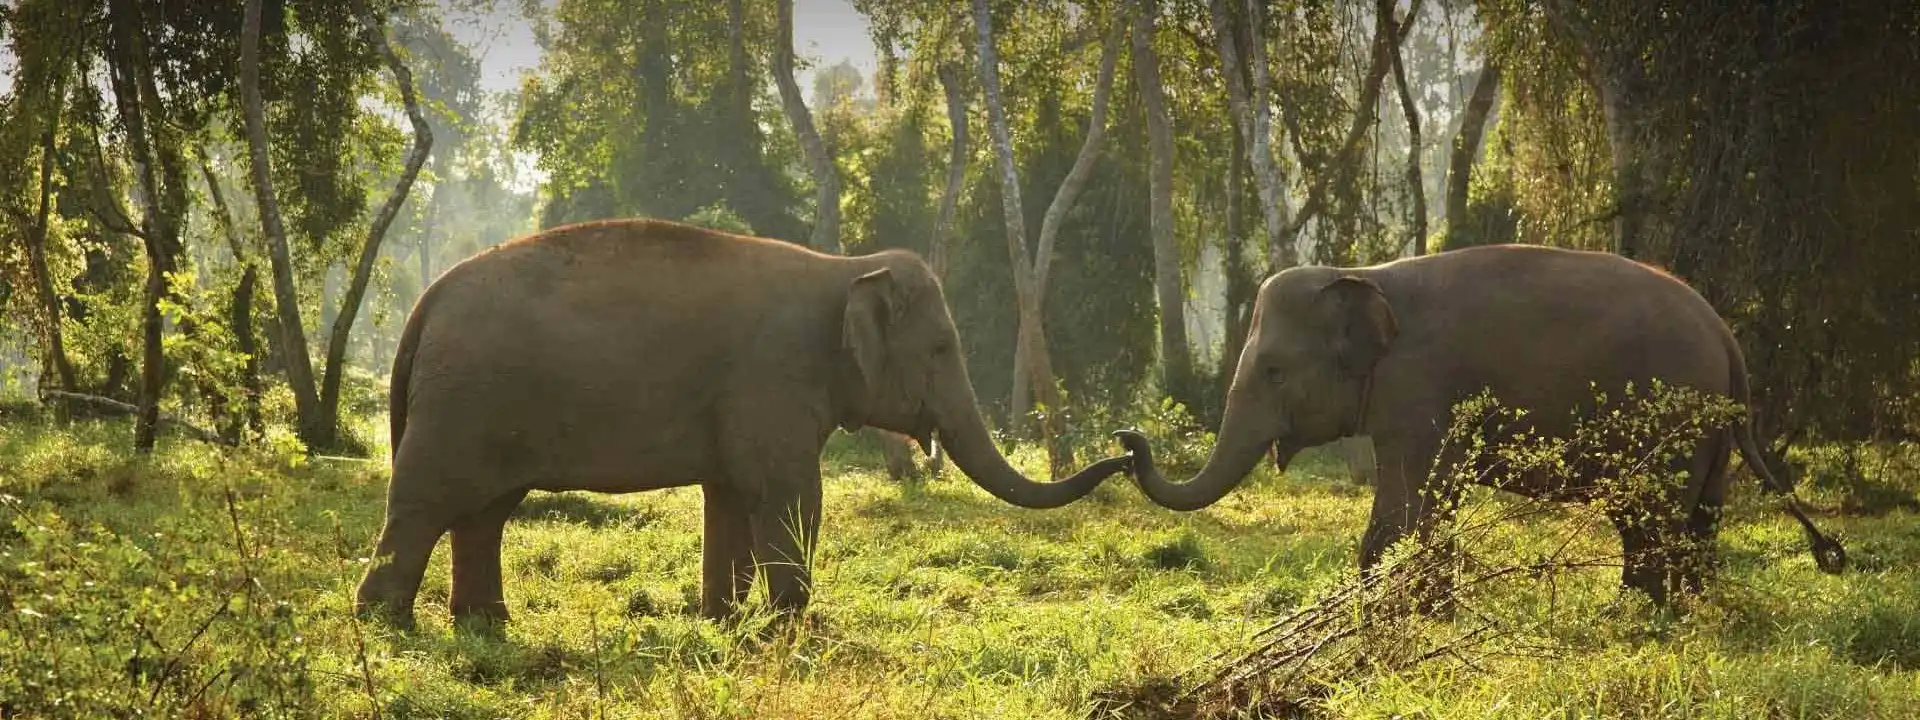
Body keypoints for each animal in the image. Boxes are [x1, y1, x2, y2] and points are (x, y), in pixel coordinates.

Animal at [354, 218, 1132, 628]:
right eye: (942, 348)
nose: (1131, 447)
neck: (846, 269)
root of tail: (425, 303)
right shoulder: (774, 378)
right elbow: (787, 494)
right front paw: (791, 626)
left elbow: (729, 496)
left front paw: (722, 622)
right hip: (463, 403)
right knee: (426, 504)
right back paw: (387, 624)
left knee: (485, 512)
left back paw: (485, 625)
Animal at [1116, 244, 1846, 605]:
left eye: (1271, 371)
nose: (1126, 440)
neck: (1363, 274)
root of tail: (1726, 338)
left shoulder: (1418, 387)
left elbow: (1407, 506)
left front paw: (1399, 614)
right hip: (1707, 432)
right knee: (1695, 520)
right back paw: (1679, 614)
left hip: (1670, 422)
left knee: (1650, 518)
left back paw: (1638, 616)